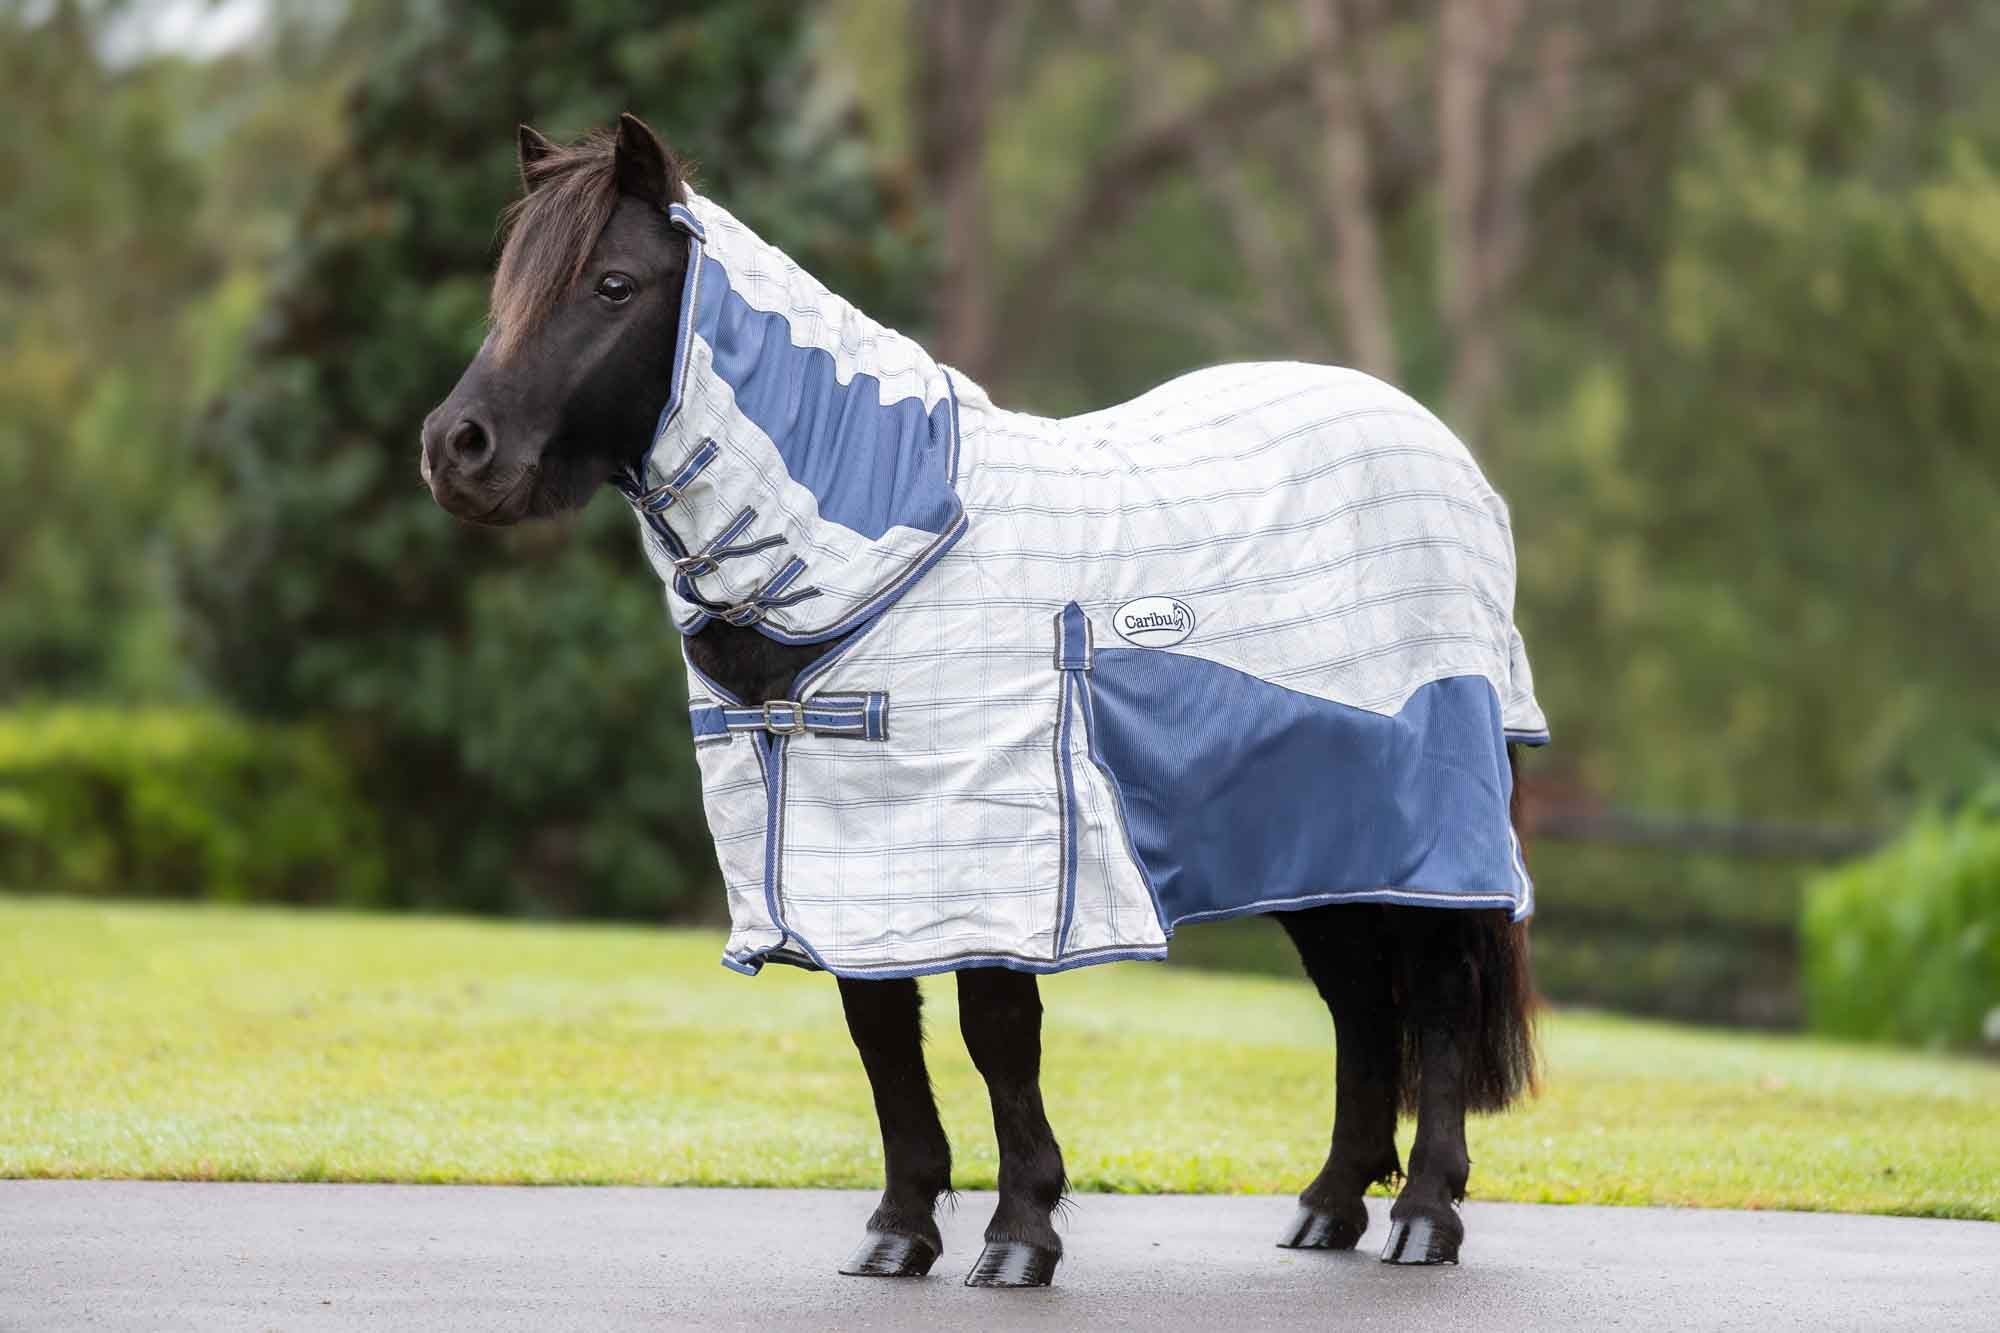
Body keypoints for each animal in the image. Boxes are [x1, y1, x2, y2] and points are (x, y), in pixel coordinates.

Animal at [421, 114, 1545, 1287]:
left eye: (612, 283)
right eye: (508, 284)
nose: (457, 451)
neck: (888, 548)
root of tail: (1446, 458)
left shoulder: (993, 847)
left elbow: (998, 1031)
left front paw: (1018, 1235)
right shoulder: (848, 859)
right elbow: (880, 1033)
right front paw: (898, 1230)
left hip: (1428, 837)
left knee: (1432, 997)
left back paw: (1425, 1217)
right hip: (1320, 843)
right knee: (1359, 1006)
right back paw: (1327, 1207)